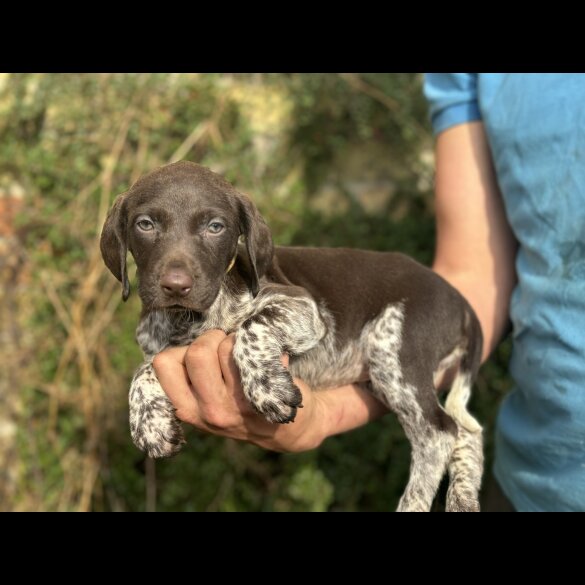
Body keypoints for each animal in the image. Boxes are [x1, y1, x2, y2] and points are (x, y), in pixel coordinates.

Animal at [100, 160, 484, 512]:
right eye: (145, 224)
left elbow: (251, 326)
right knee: (468, 433)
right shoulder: (161, 350)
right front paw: (148, 422)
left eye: (215, 227)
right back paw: (463, 498)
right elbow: (144, 369)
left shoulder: (305, 308)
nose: (176, 286)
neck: (188, 320)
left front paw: (266, 386)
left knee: (439, 433)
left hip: (395, 353)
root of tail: (459, 301)